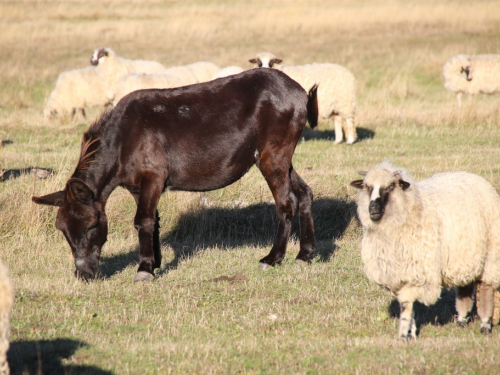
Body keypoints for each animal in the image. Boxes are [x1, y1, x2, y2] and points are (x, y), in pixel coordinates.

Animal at [350, 163, 500, 340]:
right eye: (367, 186)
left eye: (391, 186)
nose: (373, 208)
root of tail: (475, 177)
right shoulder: (400, 274)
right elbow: (408, 306)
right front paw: (412, 333)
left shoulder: (417, 272)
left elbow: (406, 306)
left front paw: (403, 336)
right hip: (466, 256)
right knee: (465, 287)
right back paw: (462, 321)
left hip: (490, 254)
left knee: (485, 289)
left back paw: (485, 325)